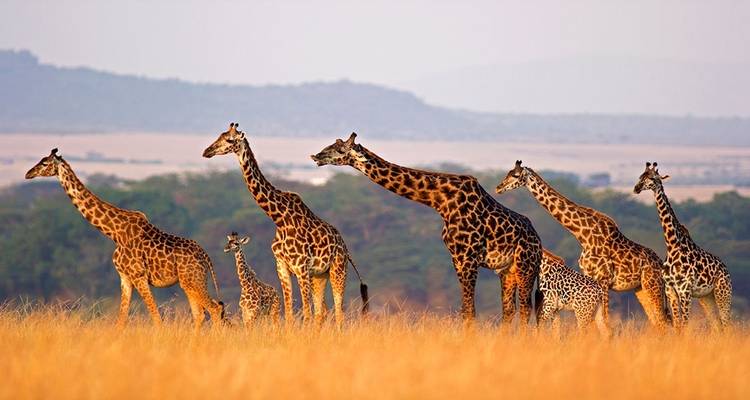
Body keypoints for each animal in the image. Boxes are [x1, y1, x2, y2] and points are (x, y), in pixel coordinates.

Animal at [25, 149, 225, 330]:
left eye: (44, 163)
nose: (28, 174)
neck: (114, 232)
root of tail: (206, 256)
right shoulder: (125, 277)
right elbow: (121, 320)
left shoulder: (138, 276)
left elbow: (156, 318)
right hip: (190, 282)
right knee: (200, 314)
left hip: (192, 280)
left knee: (215, 309)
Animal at [203, 123, 369, 328]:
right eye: (220, 135)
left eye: (229, 140)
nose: (207, 151)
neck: (279, 218)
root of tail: (345, 248)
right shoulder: (282, 266)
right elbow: (289, 314)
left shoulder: (301, 268)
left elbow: (306, 313)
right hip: (319, 275)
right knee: (321, 313)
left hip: (337, 269)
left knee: (338, 312)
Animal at [311, 133, 542, 325]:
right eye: (331, 144)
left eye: (340, 150)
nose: (316, 156)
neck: (441, 201)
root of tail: (538, 242)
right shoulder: (457, 258)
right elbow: (465, 309)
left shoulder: (469, 258)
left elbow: (470, 310)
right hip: (507, 271)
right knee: (510, 310)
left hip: (526, 266)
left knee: (525, 308)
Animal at [496, 160, 669, 329]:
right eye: (508, 173)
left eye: (515, 175)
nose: (499, 187)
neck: (583, 235)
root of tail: (660, 263)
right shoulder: (589, 276)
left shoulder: (603, 279)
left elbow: (604, 322)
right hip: (640, 289)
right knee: (657, 321)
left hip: (652, 285)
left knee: (662, 320)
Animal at [633, 162, 732, 330]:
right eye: (641, 176)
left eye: (652, 178)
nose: (636, 188)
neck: (672, 245)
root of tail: (726, 270)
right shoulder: (670, 290)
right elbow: (678, 326)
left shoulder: (685, 290)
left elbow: (684, 326)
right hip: (707, 297)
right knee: (717, 326)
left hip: (723, 293)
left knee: (727, 324)